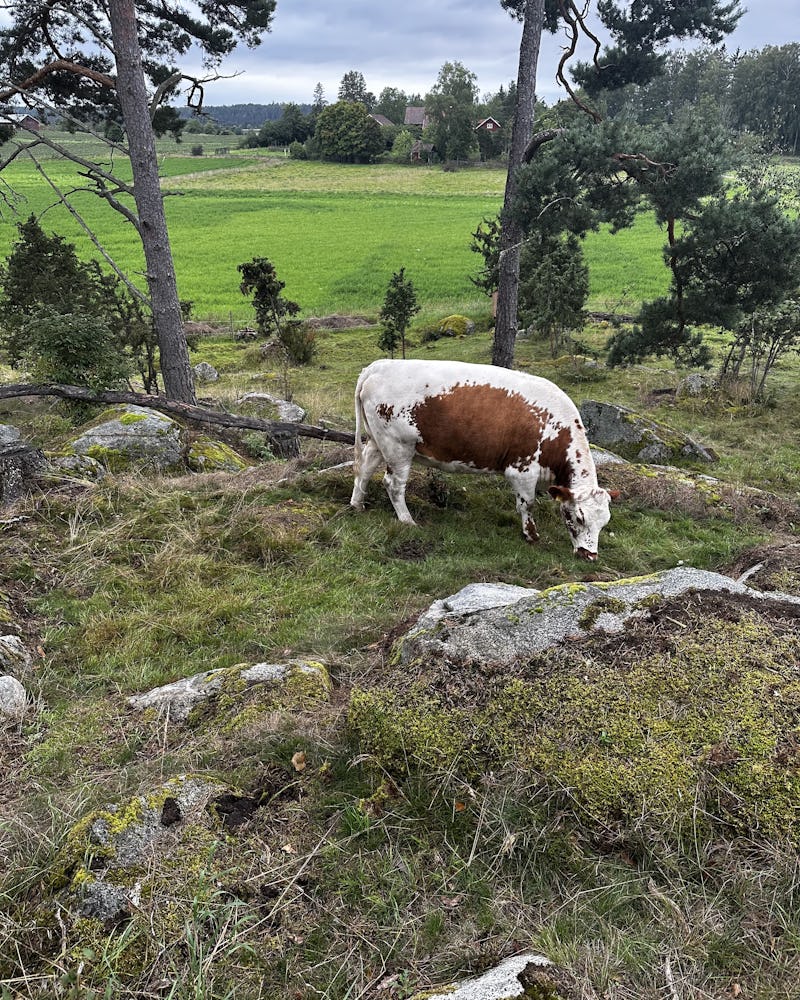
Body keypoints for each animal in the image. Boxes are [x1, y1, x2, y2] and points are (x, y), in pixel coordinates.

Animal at [350, 360, 620, 564]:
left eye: (604, 522)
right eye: (579, 518)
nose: (590, 555)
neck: (554, 430)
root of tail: (379, 365)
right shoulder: (522, 471)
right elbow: (527, 504)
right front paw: (530, 535)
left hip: (378, 441)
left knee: (364, 469)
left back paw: (357, 505)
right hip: (399, 447)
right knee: (393, 485)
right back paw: (407, 520)